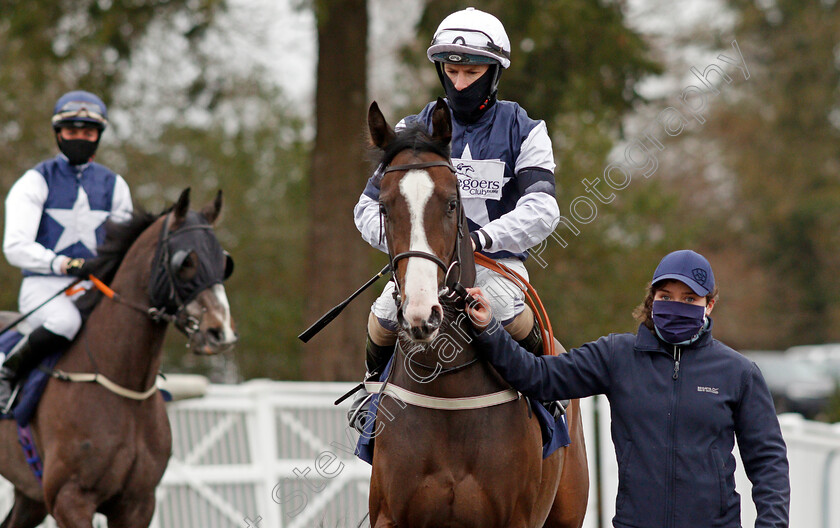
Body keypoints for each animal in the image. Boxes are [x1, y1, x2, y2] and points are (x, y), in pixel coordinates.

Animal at [0, 190, 240, 528]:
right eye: (187, 262)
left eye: (224, 261)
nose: (220, 333)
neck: (121, 384)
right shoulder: (69, 498)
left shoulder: (137, 503)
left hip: (29, 496)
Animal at [368, 100, 592, 528]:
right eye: (384, 206)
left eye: (451, 202)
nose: (422, 313)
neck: (446, 385)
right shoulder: (389, 515)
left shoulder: (514, 518)